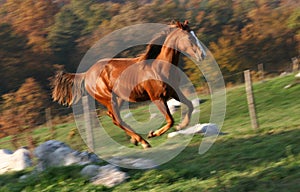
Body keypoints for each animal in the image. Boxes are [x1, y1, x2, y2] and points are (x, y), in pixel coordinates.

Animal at [51, 21, 206, 150]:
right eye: (189, 38)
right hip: (109, 99)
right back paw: (143, 142)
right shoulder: (157, 98)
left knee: (114, 118)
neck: (159, 67)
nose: (202, 55)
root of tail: (86, 74)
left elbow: (190, 105)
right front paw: (153, 133)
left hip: (119, 98)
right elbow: (170, 120)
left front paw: (182, 125)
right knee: (117, 120)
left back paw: (135, 140)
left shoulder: (174, 92)